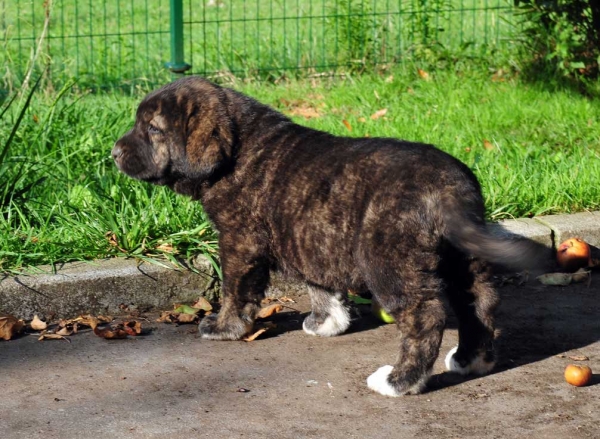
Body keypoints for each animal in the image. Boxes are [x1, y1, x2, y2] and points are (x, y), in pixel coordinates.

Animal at [112, 76, 548, 398]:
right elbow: (320, 285)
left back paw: (398, 382)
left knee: (424, 316)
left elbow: (236, 291)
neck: (238, 149)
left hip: (389, 263)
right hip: (462, 259)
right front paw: (327, 322)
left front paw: (224, 327)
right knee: (479, 302)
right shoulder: (310, 238)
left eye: (152, 129)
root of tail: (449, 188)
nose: (114, 153)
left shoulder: (240, 242)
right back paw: (472, 360)